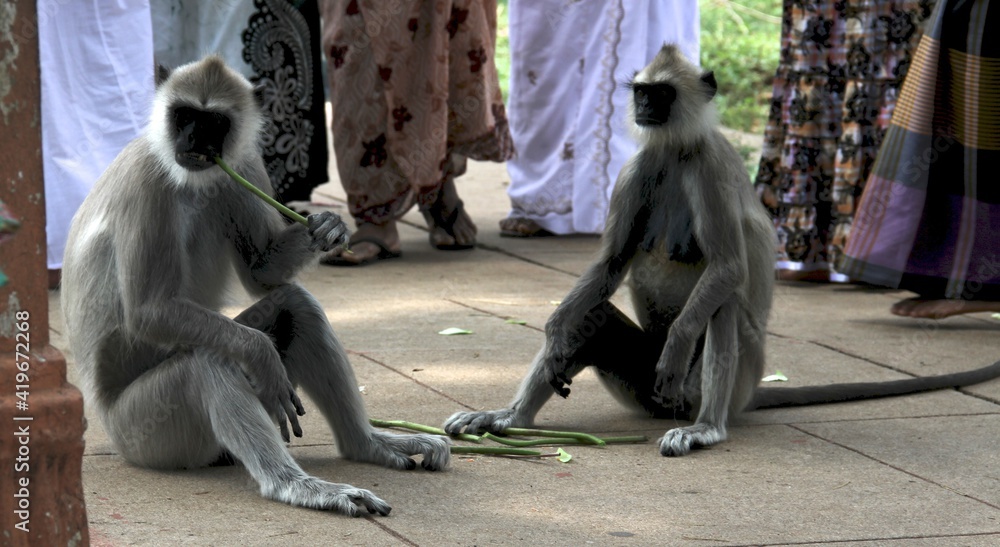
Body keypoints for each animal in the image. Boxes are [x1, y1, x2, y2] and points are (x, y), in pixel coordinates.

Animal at [61, 56, 450, 520]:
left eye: (214, 122)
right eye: (185, 116)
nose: (194, 140)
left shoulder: (243, 164)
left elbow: (262, 273)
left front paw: (328, 228)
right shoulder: (146, 182)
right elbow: (148, 312)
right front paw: (260, 353)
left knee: (295, 305)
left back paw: (366, 445)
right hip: (143, 433)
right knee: (208, 361)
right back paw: (293, 485)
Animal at [446, 45, 1000, 458]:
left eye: (661, 93)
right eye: (643, 92)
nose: (644, 108)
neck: (676, 150)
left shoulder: (708, 168)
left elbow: (729, 268)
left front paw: (678, 343)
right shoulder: (639, 165)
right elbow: (609, 264)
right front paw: (555, 330)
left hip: (722, 383)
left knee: (723, 306)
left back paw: (706, 428)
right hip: (642, 389)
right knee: (593, 316)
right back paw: (510, 417)